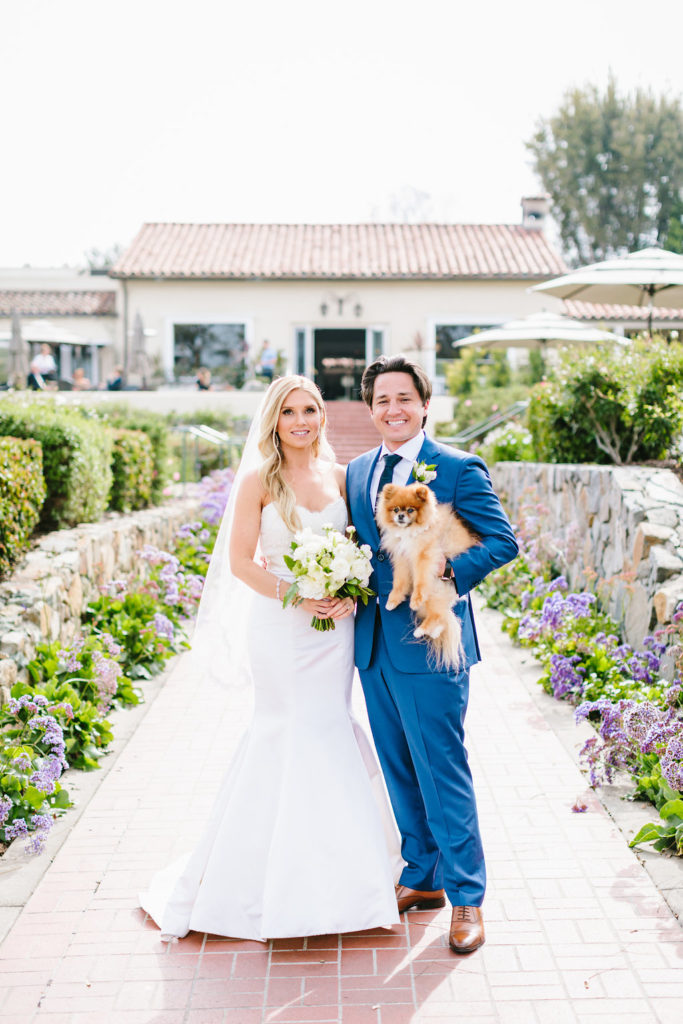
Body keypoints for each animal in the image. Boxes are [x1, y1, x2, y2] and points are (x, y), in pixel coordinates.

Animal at [378, 481, 481, 671]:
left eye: (410, 510)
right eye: (395, 509)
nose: (401, 516)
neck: (410, 532)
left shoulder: (424, 556)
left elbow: (420, 580)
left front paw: (416, 598)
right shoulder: (402, 557)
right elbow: (399, 582)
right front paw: (392, 600)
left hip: (435, 589)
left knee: (437, 615)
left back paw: (421, 630)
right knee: (441, 617)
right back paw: (431, 630)